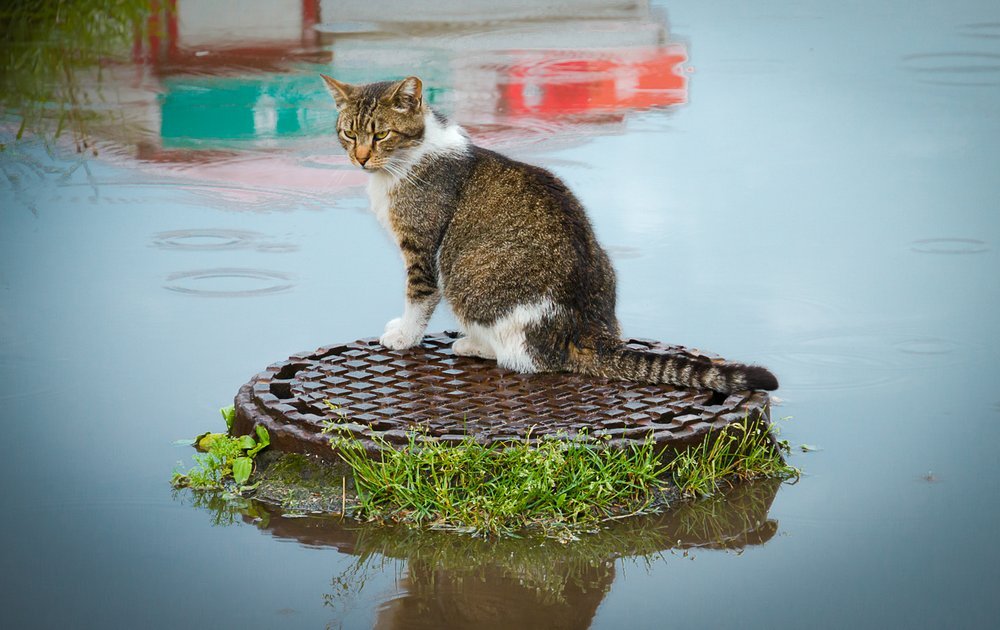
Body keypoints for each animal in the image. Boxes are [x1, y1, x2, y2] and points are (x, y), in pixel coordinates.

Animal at [324, 71, 776, 392]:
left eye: (381, 134)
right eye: (348, 132)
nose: (360, 158)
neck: (402, 164)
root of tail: (584, 333)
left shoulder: (421, 248)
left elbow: (417, 298)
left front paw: (403, 336)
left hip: (465, 274)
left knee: (521, 357)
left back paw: (473, 345)